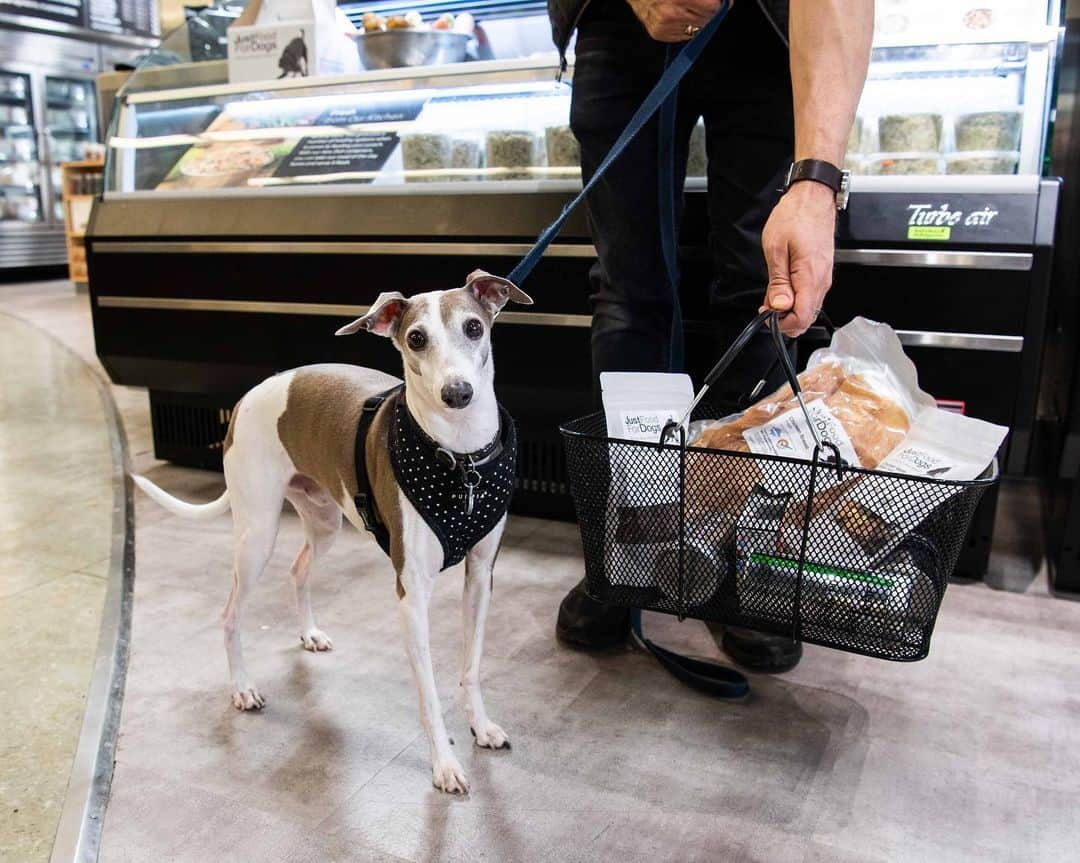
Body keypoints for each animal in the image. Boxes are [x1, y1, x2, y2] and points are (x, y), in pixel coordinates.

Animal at [135, 273, 535, 794]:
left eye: (473, 327)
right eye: (415, 338)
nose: (458, 392)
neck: (459, 458)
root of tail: (246, 398)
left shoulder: (480, 576)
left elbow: (471, 666)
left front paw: (480, 727)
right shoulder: (412, 594)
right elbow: (428, 693)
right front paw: (445, 765)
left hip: (324, 522)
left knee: (298, 568)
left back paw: (308, 634)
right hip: (256, 535)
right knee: (230, 614)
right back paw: (242, 688)